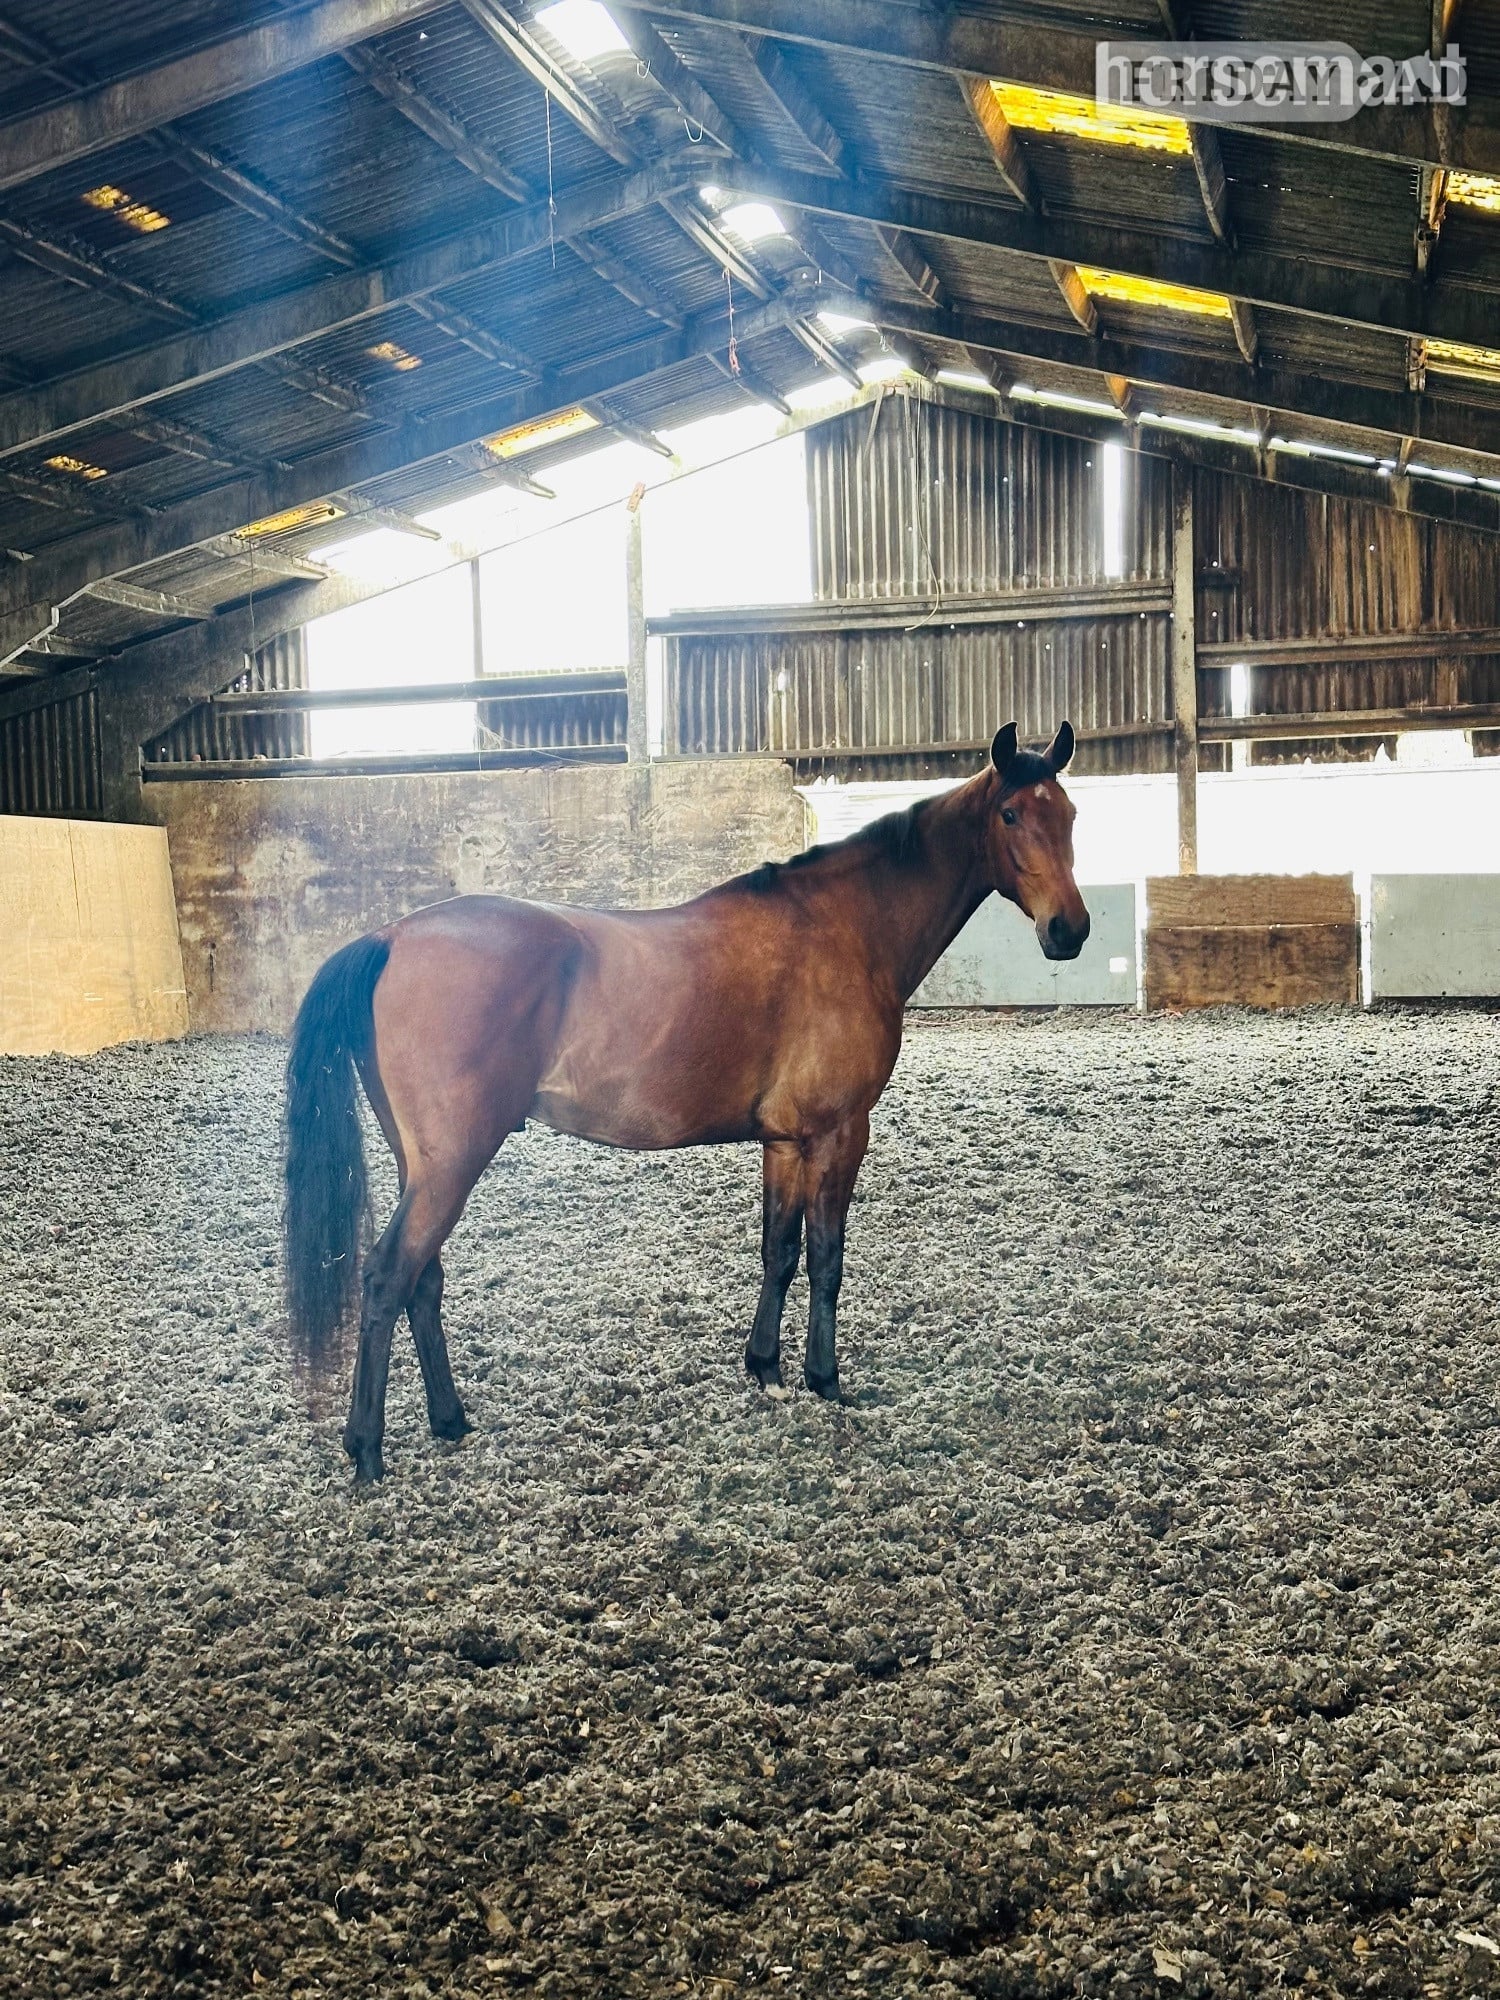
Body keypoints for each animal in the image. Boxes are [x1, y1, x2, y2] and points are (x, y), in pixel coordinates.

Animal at [283, 719, 1089, 1482]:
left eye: (1070, 814)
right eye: (1012, 814)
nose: (1070, 930)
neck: (844, 927)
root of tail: (389, 937)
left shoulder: (784, 1142)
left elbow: (778, 1251)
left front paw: (764, 1367)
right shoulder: (839, 1133)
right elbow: (826, 1257)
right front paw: (824, 1378)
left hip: (422, 1165)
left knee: (423, 1280)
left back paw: (450, 1421)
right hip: (453, 1162)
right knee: (388, 1277)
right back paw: (367, 1451)